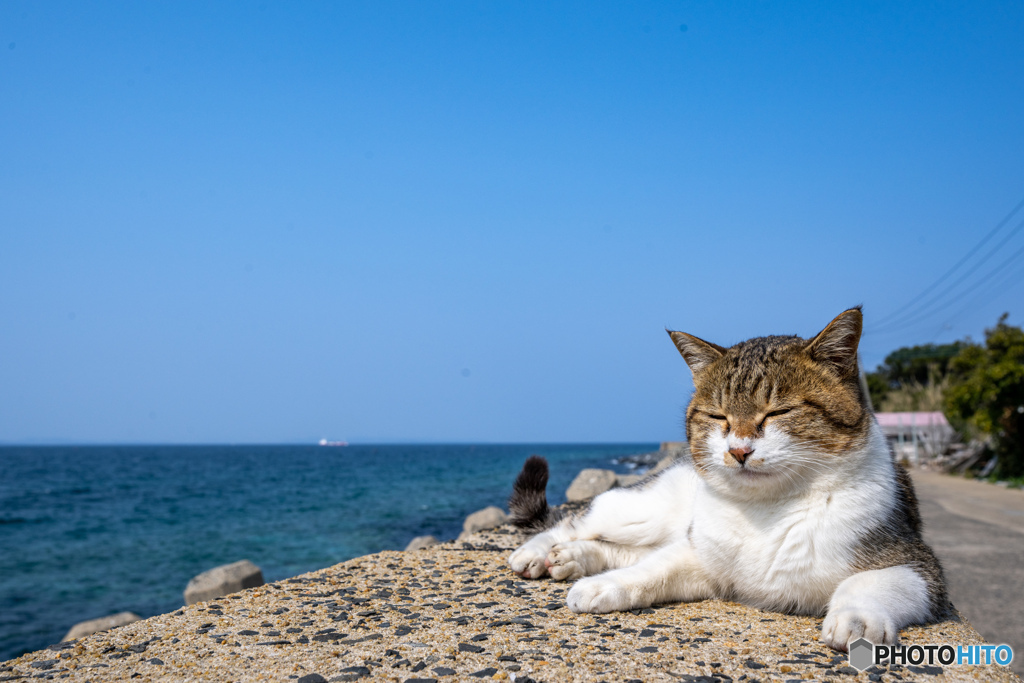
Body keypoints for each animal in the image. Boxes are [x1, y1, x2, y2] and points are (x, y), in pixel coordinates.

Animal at [507, 309, 946, 651]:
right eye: (718, 416)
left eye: (778, 411)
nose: (738, 450)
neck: (768, 509)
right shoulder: (701, 555)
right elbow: (650, 571)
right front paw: (599, 586)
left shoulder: (918, 566)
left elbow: (869, 583)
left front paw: (856, 619)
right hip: (644, 512)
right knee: (581, 519)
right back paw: (539, 552)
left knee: (624, 545)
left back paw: (572, 558)